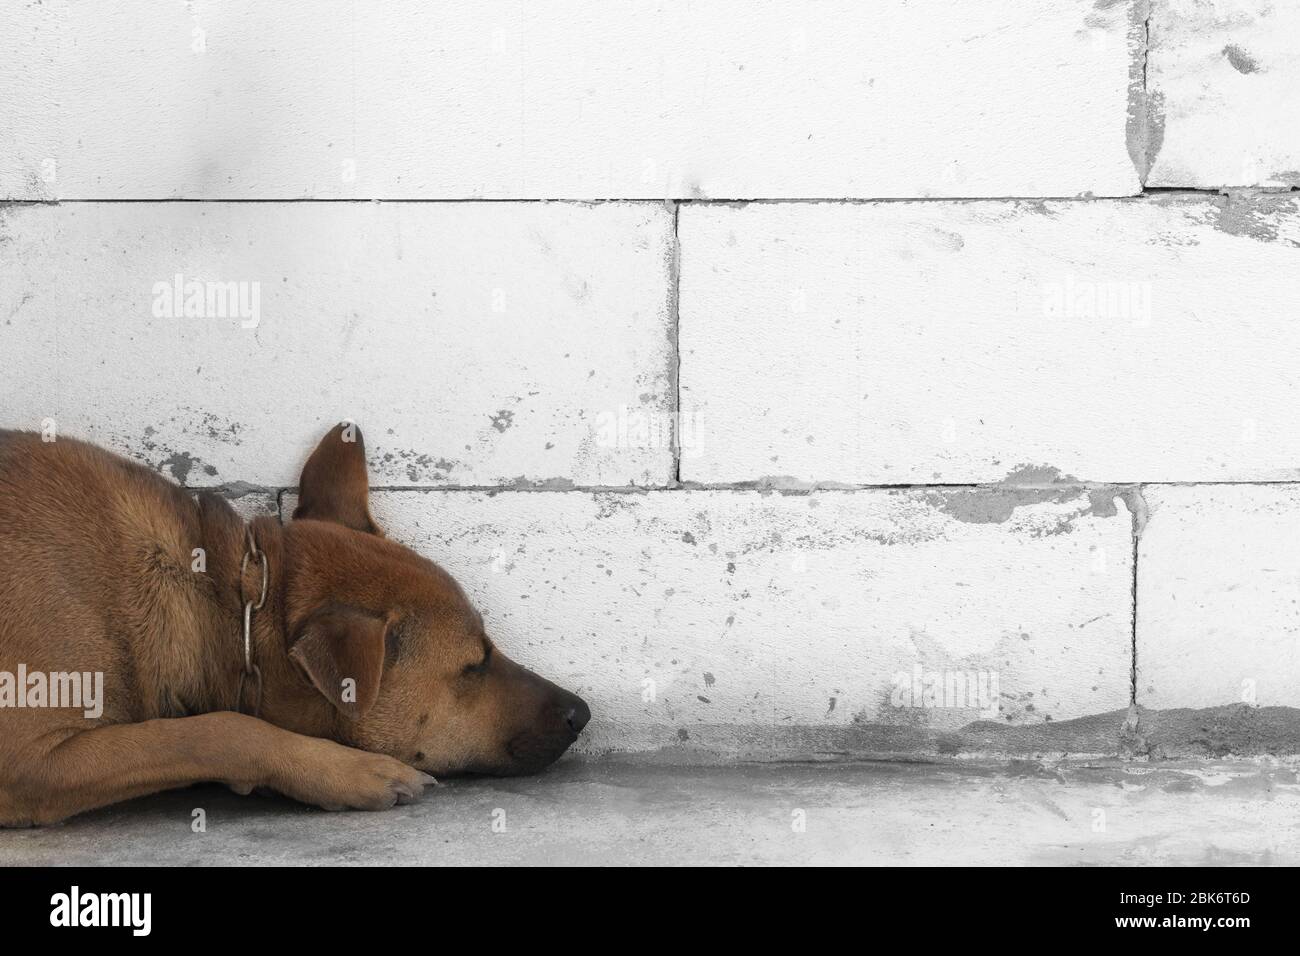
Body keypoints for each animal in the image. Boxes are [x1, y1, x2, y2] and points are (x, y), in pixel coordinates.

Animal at [0, 421, 590, 827]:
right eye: (473, 665)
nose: (582, 713)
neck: (228, 597)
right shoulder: (28, 760)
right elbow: (222, 728)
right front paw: (348, 771)